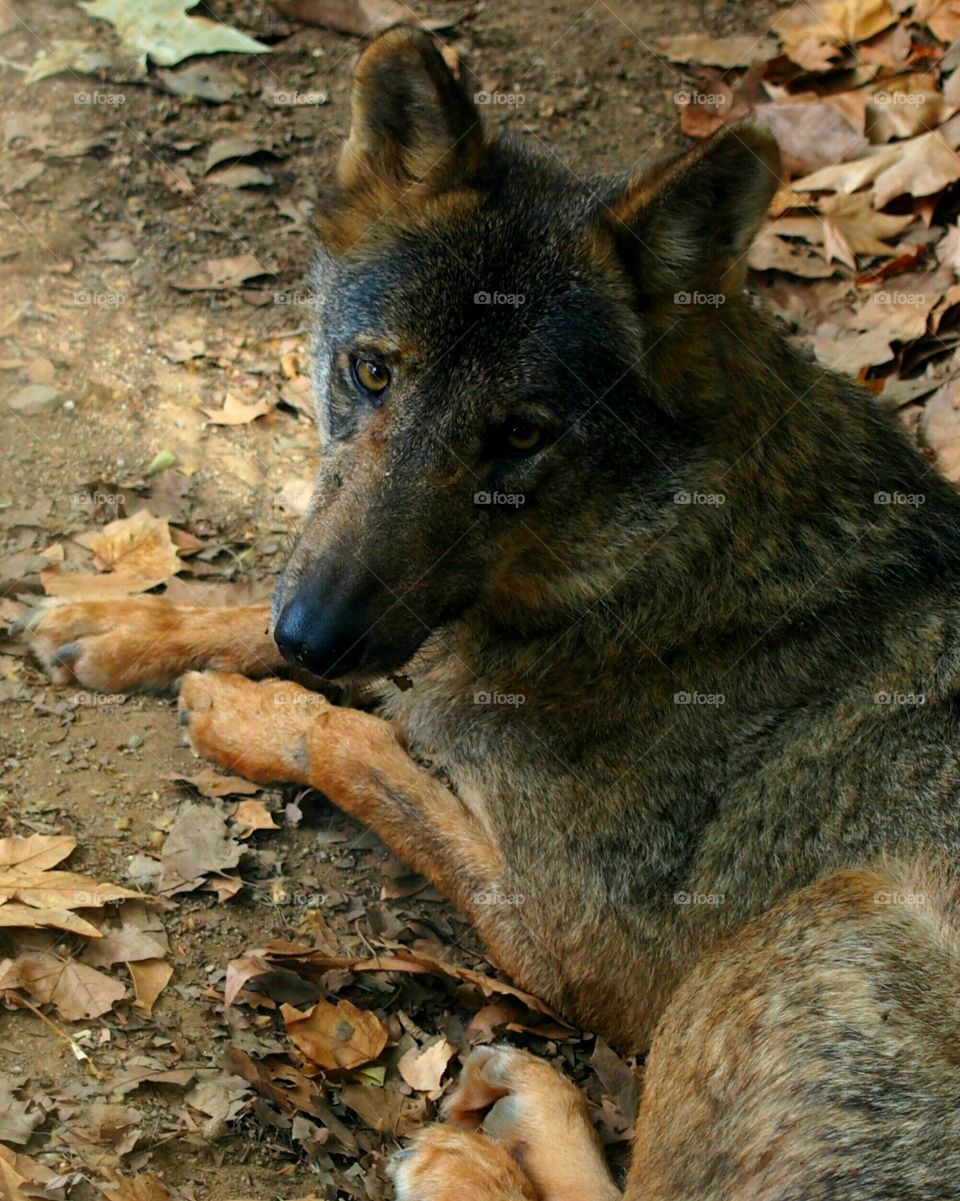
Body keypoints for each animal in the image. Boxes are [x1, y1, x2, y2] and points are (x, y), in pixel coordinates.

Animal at [19, 25, 960, 1200]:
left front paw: (248, 711)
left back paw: (472, 1147)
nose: (313, 635)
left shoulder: (587, 950)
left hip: (808, 931)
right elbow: (276, 623)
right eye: (371, 370)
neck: (649, 570)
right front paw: (118, 623)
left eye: (520, 435)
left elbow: (357, 746)